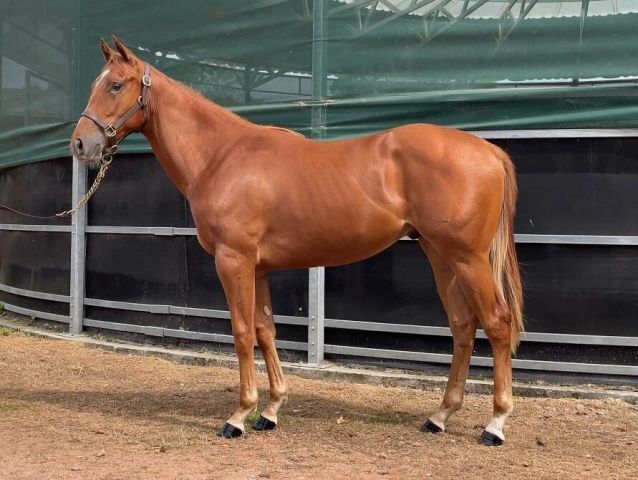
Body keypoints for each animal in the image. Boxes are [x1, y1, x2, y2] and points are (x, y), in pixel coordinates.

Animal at [71, 37, 524, 446]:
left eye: (116, 85)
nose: (80, 143)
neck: (222, 156)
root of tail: (488, 151)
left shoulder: (233, 260)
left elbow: (241, 331)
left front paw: (239, 416)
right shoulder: (257, 267)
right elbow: (265, 329)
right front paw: (270, 411)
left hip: (468, 258)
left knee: (497, 322)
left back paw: (495, 424)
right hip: (441, 256)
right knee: (463, 325)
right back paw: (440, 416)